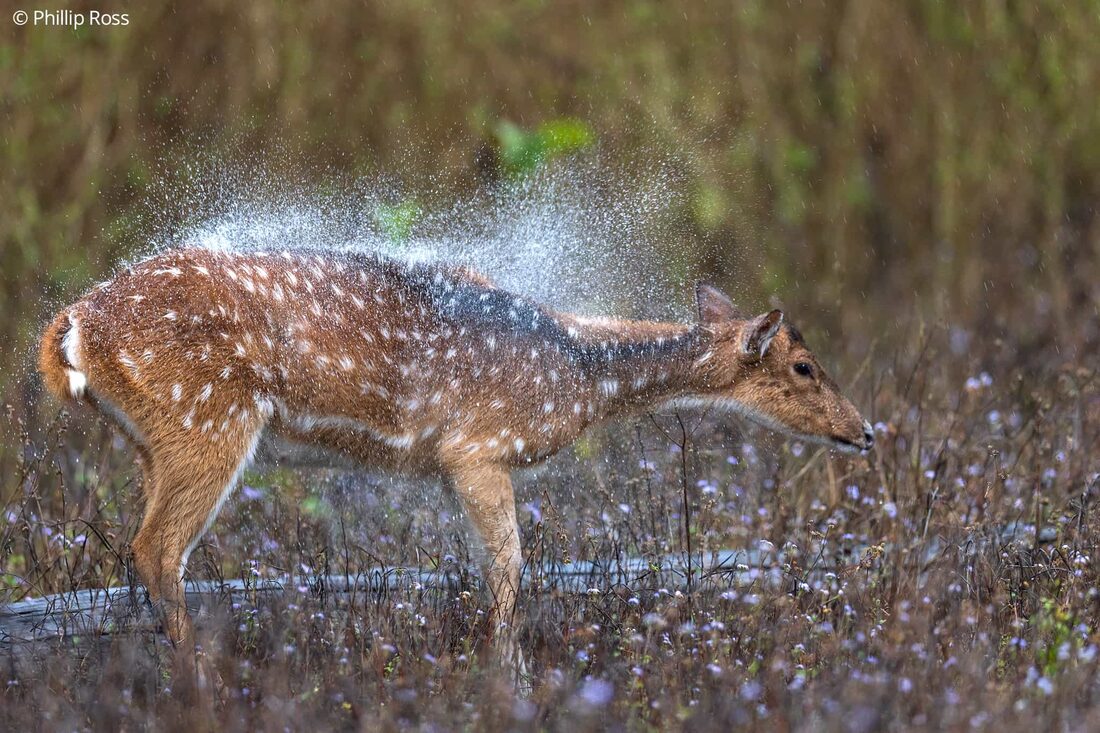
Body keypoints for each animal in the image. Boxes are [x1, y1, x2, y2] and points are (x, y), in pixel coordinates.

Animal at [38, 246, 873, 688]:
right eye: (803, 365)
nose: (865, 431)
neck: (580, 377)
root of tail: (68, 331)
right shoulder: (477, 447)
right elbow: (510, 568)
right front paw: (511, 681)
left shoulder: (448, 466)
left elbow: (481, 566)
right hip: (205, 422)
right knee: (156, 547)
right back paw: (200, 682)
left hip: (155, 439)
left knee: (137, 547)